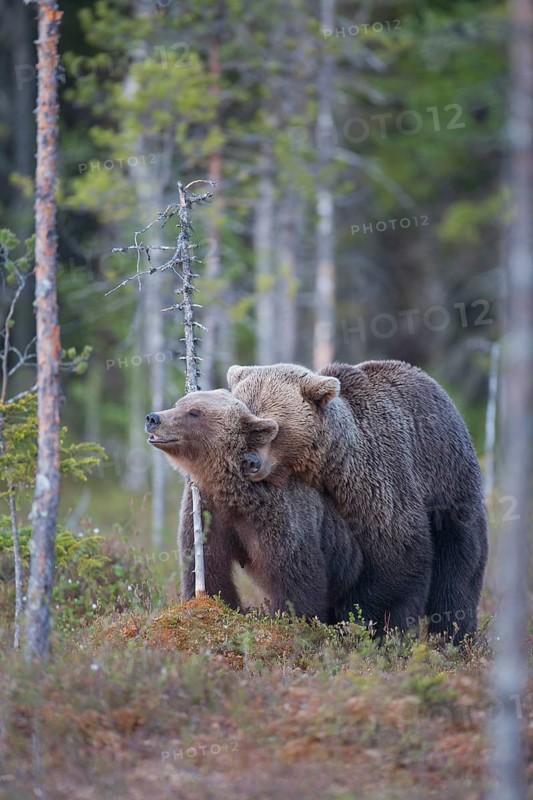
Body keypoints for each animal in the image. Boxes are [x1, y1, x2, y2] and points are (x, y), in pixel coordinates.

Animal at [145, 389, 363, 622]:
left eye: (194, 412)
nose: (153, 418)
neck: (232, 492)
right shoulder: (207, 510)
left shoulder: (276, 516)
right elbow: (207, 565)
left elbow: (296, 575)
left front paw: (292, 618)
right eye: (178, 404)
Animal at [227, 360, 488, 642]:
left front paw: (364, 622)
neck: (330, 467)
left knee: (458, 571)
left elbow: (398, 553)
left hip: (449, 489)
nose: (249, 462)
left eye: (269, 428)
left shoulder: (377, 481)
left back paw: (453, 636)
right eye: (241, 425)